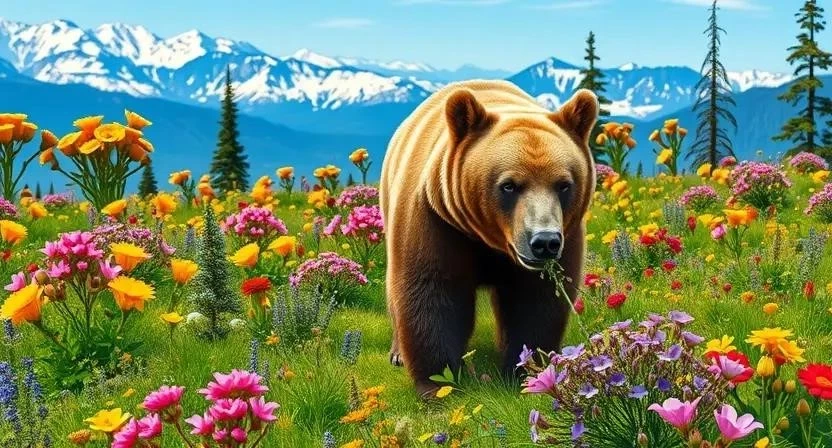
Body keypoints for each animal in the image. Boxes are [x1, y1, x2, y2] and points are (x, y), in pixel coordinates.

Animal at [379, 79, 598, 397]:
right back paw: (398, 353)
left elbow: (536, 300)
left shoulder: (567, 237)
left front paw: (525, 372)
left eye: (564, 185)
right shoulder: (435, 219)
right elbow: (431, 289)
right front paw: (439, 383)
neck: (489, 238)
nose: (544, 241)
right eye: (509, 185)